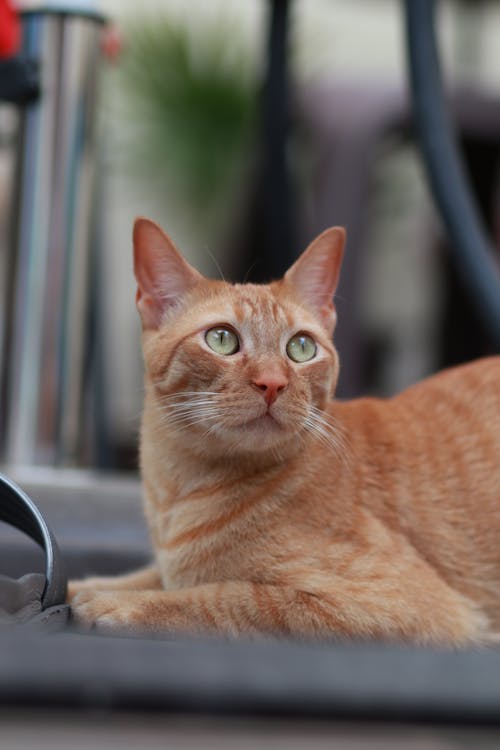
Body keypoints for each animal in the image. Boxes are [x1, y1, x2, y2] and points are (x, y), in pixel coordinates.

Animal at [69, 217, 500, 648]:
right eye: (221, 339)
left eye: (301, 347)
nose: (273, 383)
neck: (180, 488)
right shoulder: (165, 566)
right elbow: (142, 575)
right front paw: (80, 587)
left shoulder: (408, 603)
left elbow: (227, 598)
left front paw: (118, 604)